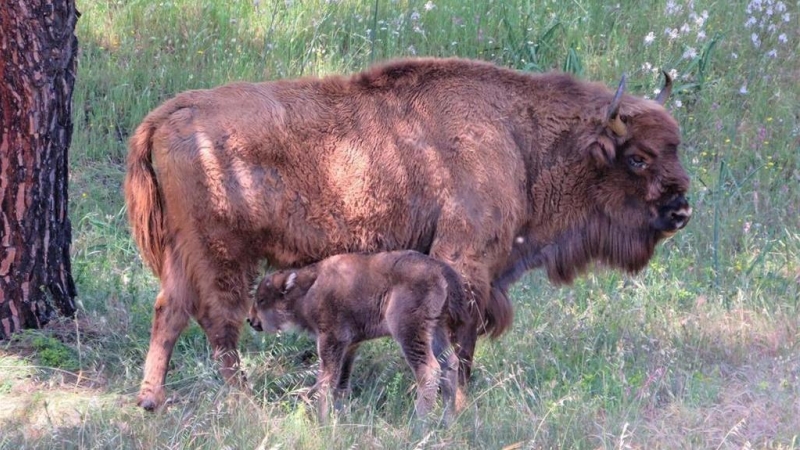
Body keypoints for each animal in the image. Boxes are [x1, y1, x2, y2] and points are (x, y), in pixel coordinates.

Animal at [250, 251, 468, 424]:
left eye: (261, 299)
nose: (251, 320)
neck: (309, 288)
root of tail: (440, 269)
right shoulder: (350, 346)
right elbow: (341, 382)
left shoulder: (331, 340)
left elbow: (326, 381)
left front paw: (323, 420)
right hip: (437, 328)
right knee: (450, 363)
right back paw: (448, 421)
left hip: (409, 331)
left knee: (429, 369)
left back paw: (418, 424)